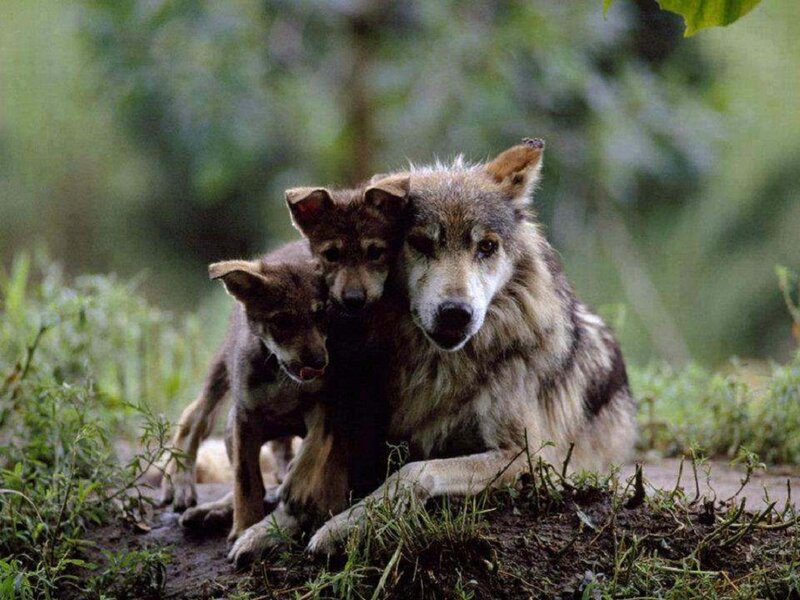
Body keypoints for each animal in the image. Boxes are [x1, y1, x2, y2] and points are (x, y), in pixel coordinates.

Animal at [307, 139, 637, 553]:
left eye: (486, 246)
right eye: (420, 242)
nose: (455, 314)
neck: (444, 368)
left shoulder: (532, 458)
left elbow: (414, 472)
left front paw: (343, 526)